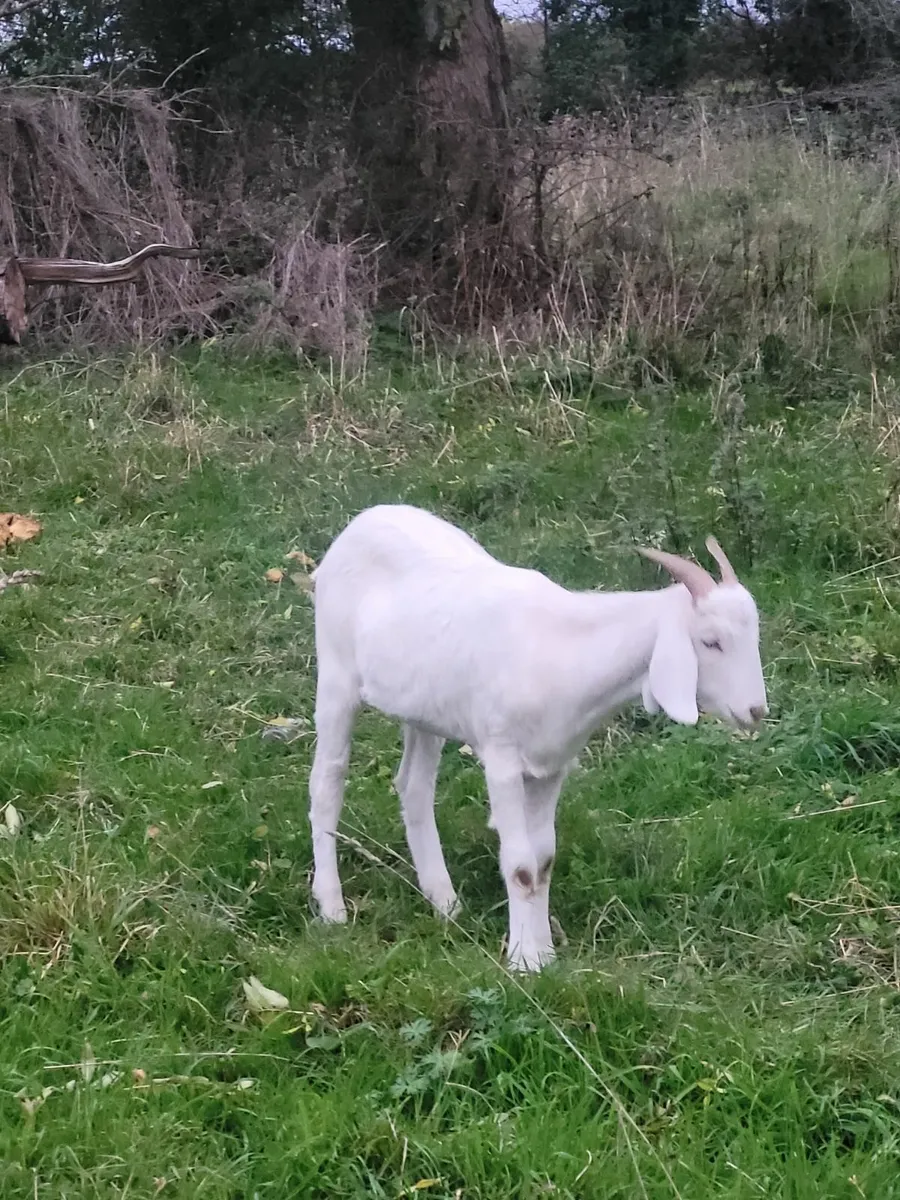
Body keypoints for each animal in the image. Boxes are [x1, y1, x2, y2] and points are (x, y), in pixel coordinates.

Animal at [307, 503, 768, 972]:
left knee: (413, 788)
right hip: (336, 676)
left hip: (424, 708)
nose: (756, 711)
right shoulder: (502, 762)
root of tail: (364, 519)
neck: (564, 651)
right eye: (711, 642)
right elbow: (521, 866)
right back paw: (332, 908)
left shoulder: (551, 766)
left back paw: (446, 904)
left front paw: (544, 953)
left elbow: (543, 861)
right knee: (327, 783)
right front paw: (523, 961)